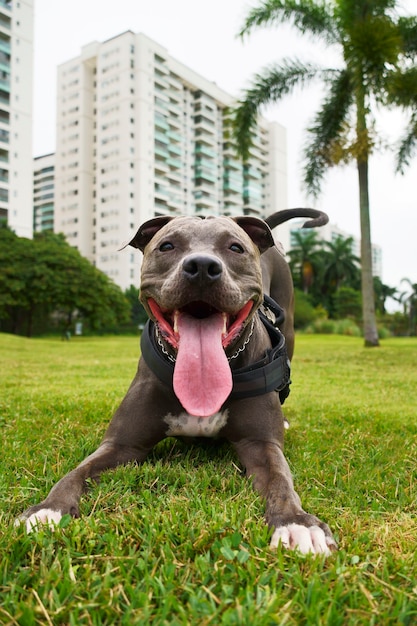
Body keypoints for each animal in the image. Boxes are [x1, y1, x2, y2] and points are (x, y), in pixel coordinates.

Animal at [17, 211, 336, 556]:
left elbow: (280, 479)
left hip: (288, 329)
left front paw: (296, 523)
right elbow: (77, 473)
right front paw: (48, 509)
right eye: (167, 246)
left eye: (235, 247)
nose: (202, 266)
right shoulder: (120, 445)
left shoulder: (261, 444)